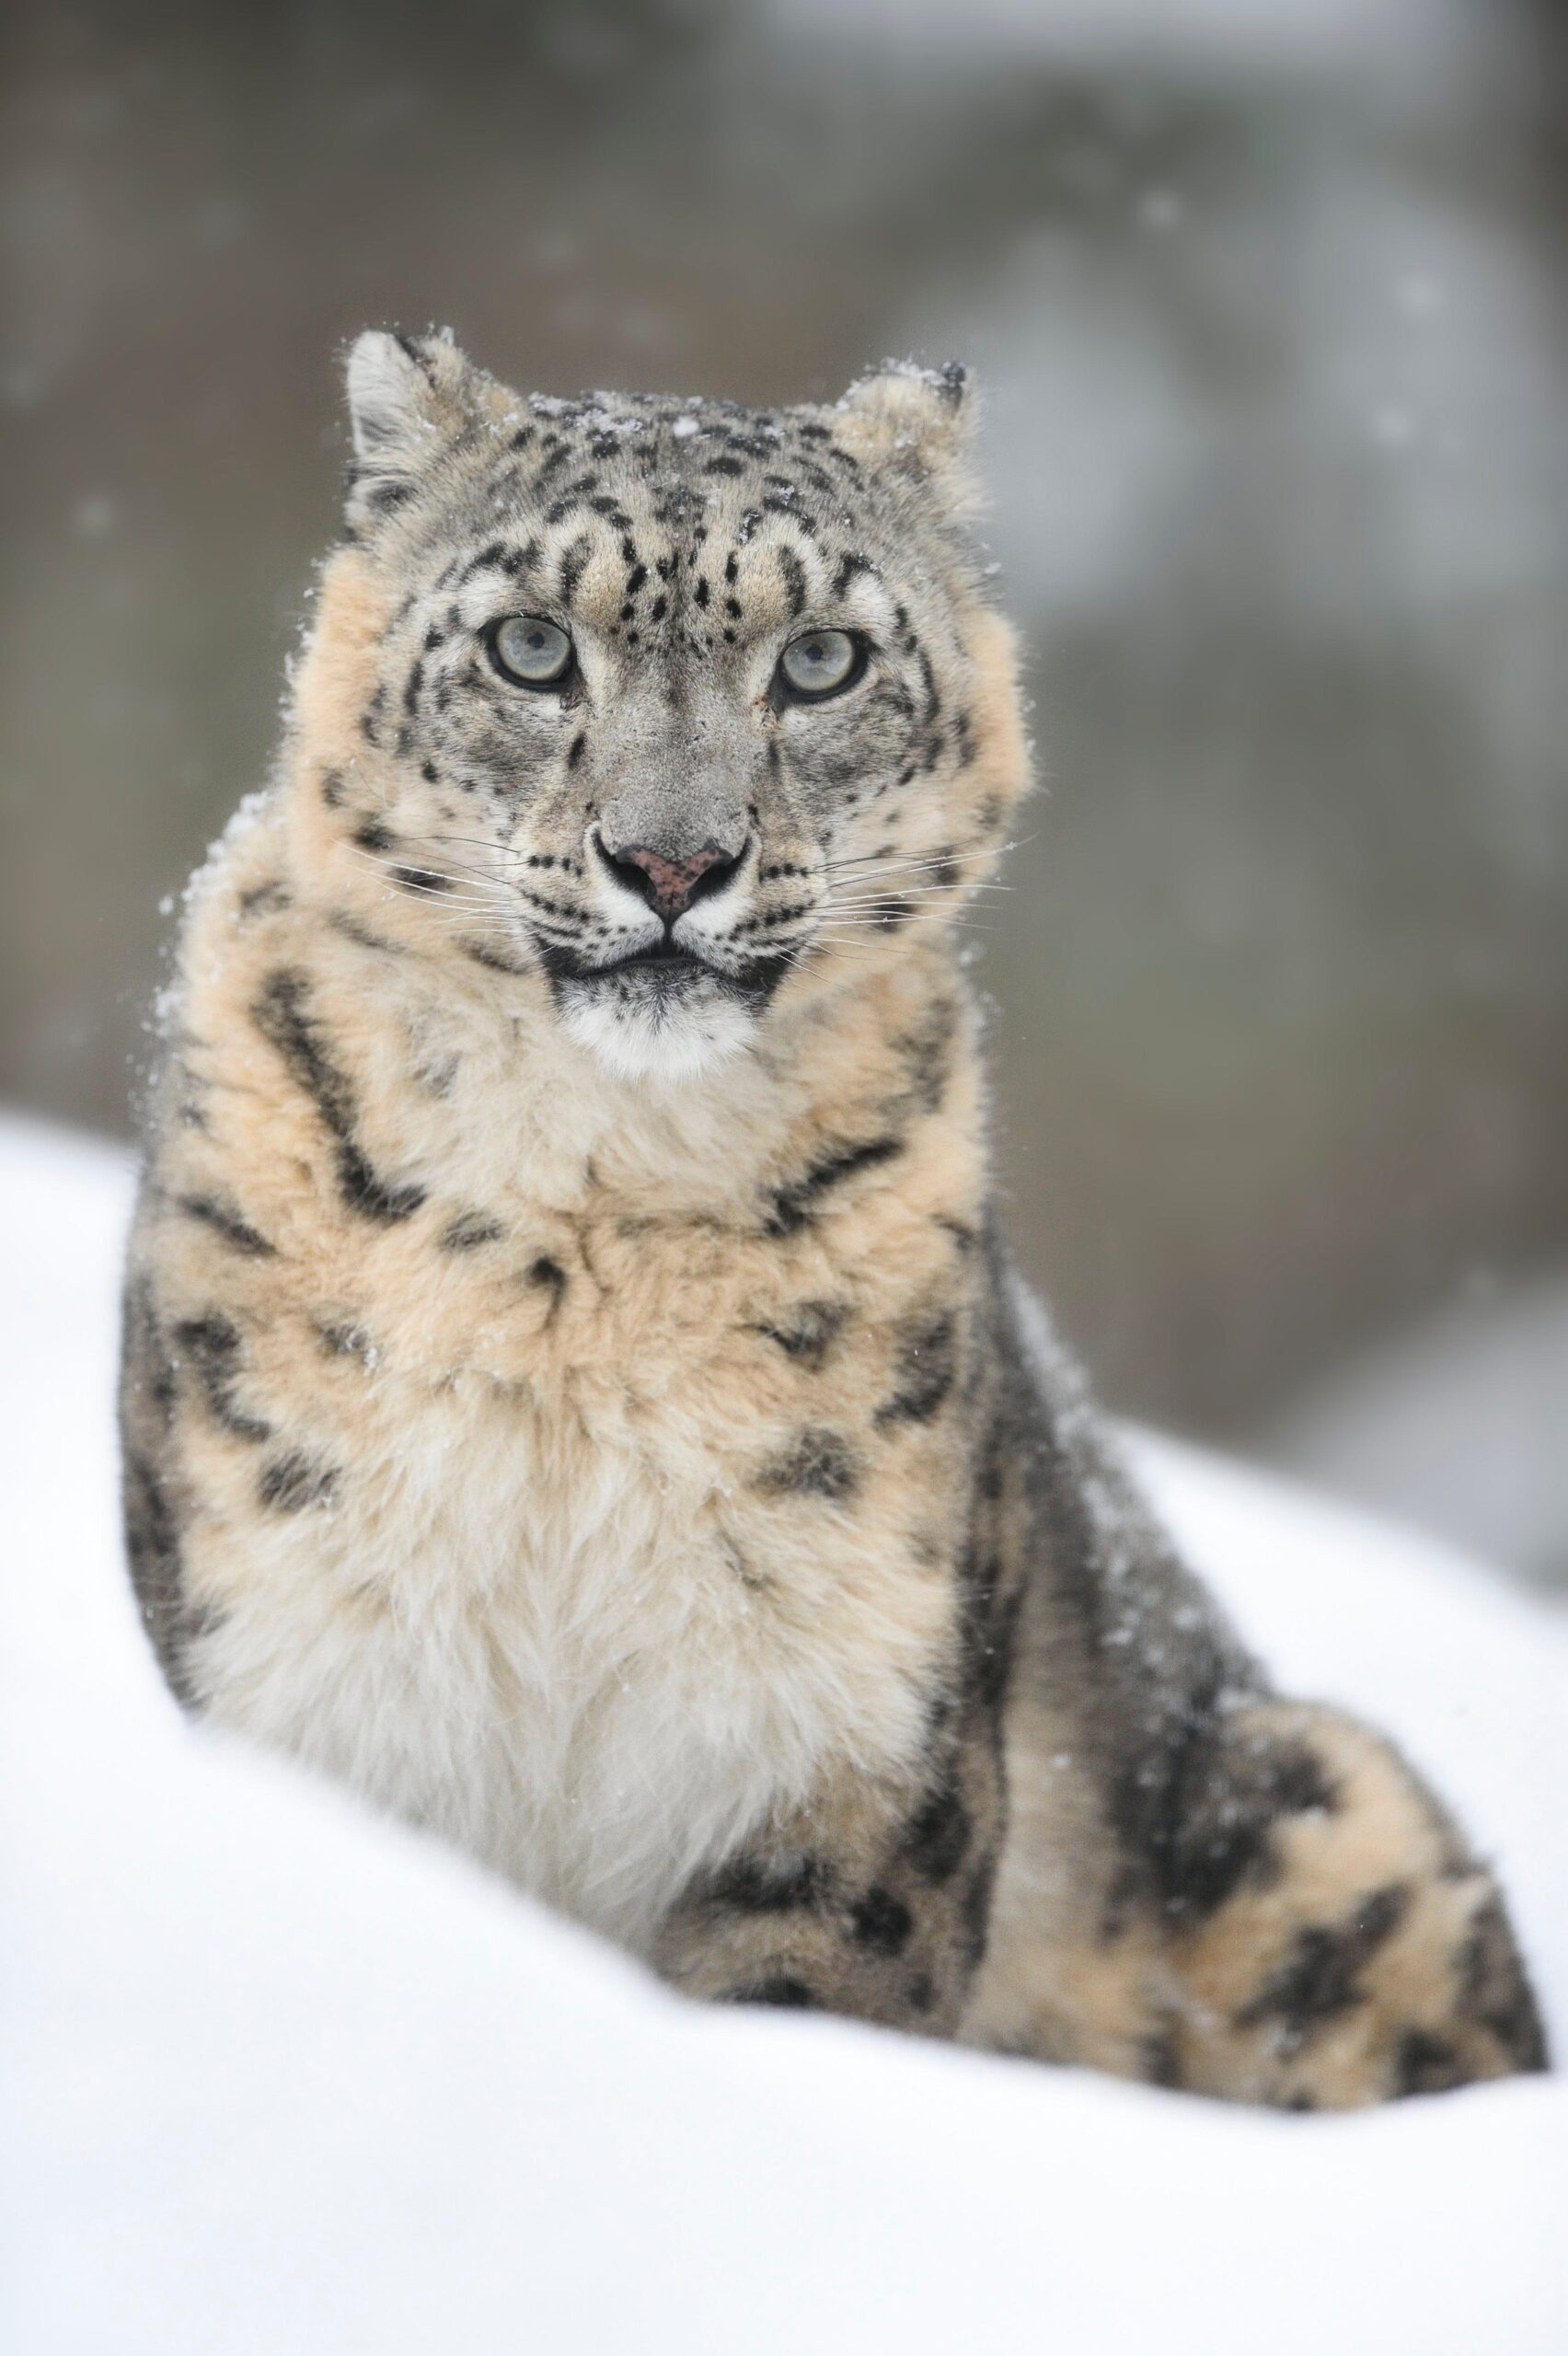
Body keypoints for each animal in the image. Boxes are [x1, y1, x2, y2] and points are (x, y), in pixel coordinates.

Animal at [119, 322, 1535, 2110]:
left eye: (817, 660)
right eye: (529, 646)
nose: (672, 861)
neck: (587, 1223)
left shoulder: (844, 1737)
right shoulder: (305, 1665)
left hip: (1330, 1815)